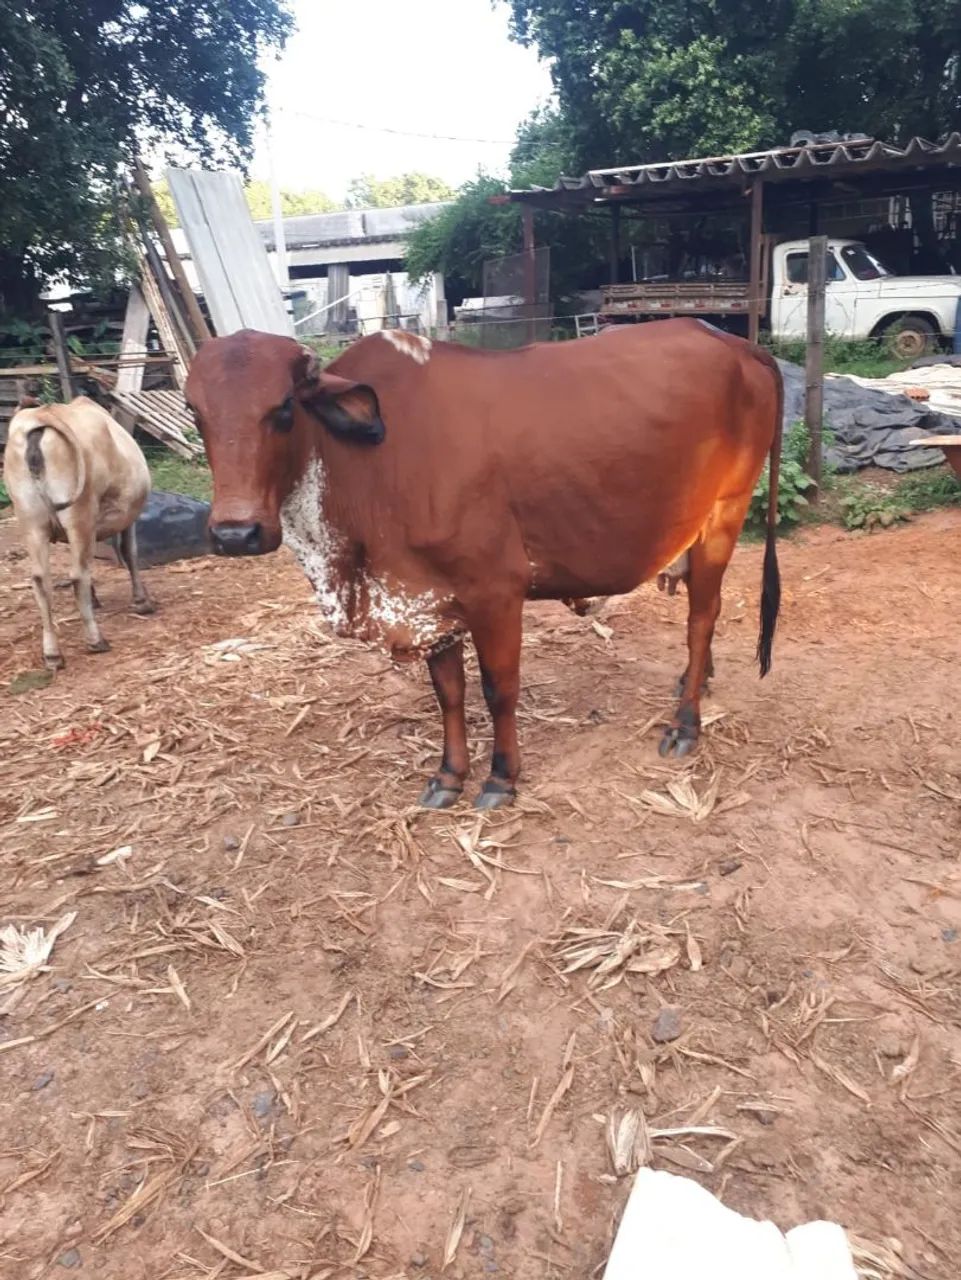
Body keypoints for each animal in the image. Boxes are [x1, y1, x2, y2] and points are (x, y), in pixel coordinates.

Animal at [3, 397, 155, 668]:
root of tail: (41, 416)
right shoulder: (128, 518)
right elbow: (130, 553)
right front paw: (141, 601)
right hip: (79, 513)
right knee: (77, 574)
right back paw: (95, 640)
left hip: (31, 520)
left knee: (41, 579)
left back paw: (52, 654)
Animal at [185, 319, 781, 809]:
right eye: (196, 413)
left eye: (284, 409)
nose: (236, 533)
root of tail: (736, 343)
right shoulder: (426, 600)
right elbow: (449, 693)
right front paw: (449, 775)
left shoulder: (495, 592)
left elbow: (499, 689)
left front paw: (500, 777)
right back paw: (693, 682)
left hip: (724, 516)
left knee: (702, 617)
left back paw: (686, 723)